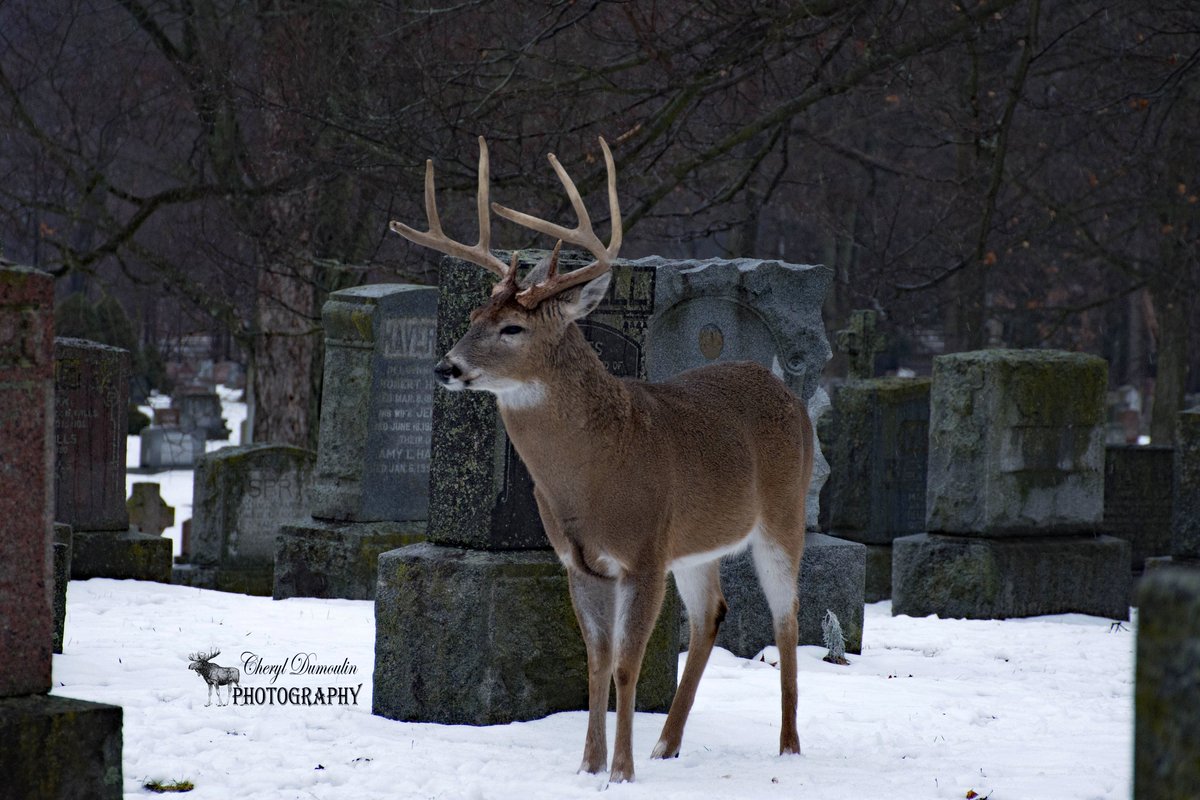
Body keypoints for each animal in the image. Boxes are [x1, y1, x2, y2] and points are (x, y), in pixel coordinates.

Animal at [389, 136, 814, 783]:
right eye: (472, 319)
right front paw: (588, 766)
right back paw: (668, 744)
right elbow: (595, 662)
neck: (591, 477)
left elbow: (626, 664)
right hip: (695, 543)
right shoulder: (581, 560)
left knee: (787, 619)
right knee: (712, 612)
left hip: (784, 516)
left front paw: (621, 771)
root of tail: (787, 392)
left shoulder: (643, 552)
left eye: (512, 328)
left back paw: (788, 746)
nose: (446, 367)